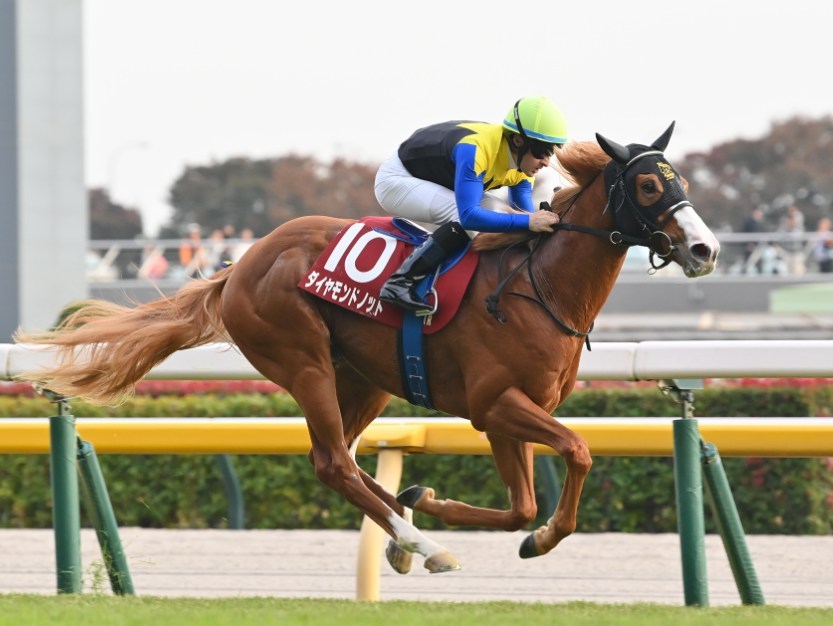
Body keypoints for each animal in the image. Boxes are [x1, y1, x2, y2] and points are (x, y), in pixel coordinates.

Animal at [15, 122, 719, 574]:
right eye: (649, 187)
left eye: (678, 178)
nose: (706, 248)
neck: (537, 286)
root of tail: (240, 266)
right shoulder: (494, 404)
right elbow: (576, 451)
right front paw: (531, 538)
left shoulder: (507, 414)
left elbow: (522, 504)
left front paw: (436, 503)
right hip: (302, 361)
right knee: (333, 463)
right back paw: (422, 543)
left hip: (365, 379)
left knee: (343, 460)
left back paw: (406, 534)